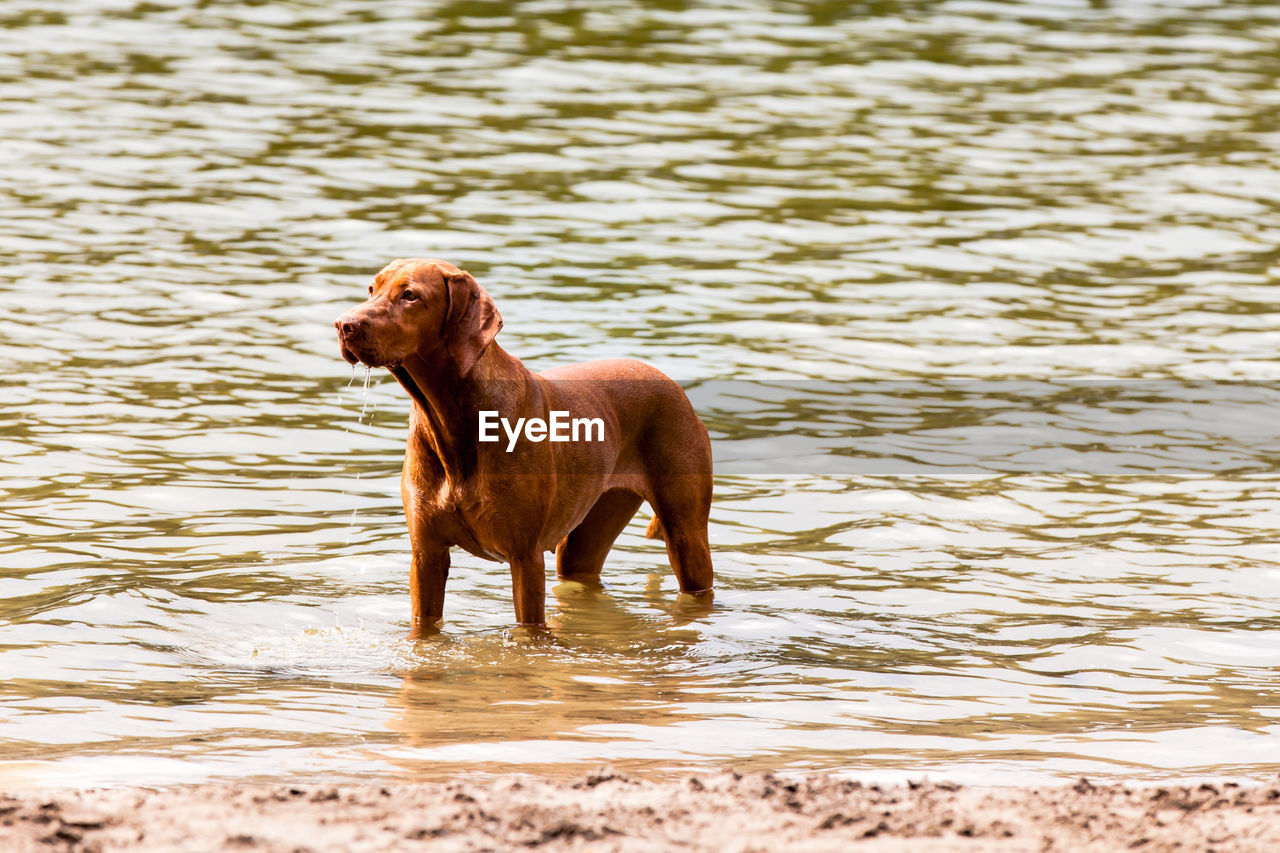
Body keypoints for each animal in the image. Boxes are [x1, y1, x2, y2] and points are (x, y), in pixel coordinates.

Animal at [332, 256, 711, 627]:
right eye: (371, 289)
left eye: (410, 295)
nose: (342, 324)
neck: (453, 418)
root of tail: (672, 384)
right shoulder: (426, 555)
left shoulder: (525, 556)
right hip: (584, 540)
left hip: (686, 537)